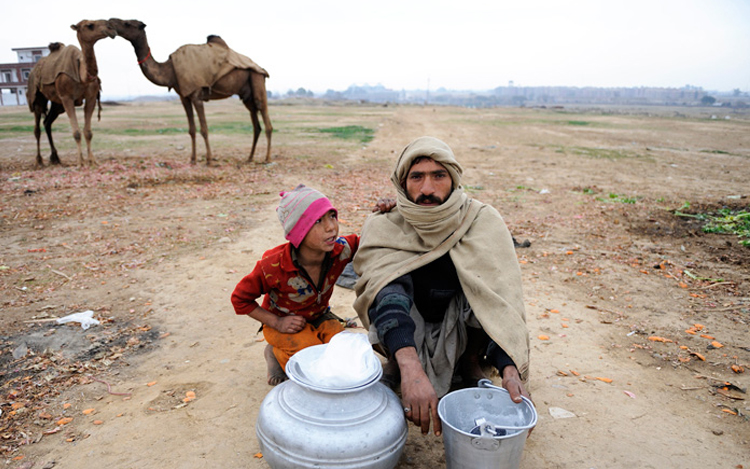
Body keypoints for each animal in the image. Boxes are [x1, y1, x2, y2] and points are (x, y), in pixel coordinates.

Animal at [26, 19, 116, 167]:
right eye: (90, 25)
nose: (111, 29)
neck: (82, 75)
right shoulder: (67, 97)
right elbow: (76, 132)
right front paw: (80, 161)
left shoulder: (91, 97)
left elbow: (88, 132)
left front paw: (92, 160)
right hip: (38, 96)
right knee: (37, 127)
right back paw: (39, 160)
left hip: (57, 104)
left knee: (47, 123)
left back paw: (55, 158)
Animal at [110, 18, 274, 165]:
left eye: (127, 23)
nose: (111, 22)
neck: (170, 70)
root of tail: (261, 68)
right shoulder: (184, 97)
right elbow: (192, 130)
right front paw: (193, 159)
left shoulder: (196, 95)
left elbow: (204, 129)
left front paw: (209, 160)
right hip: (246, 96)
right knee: (256, 125)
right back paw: (249, 158)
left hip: (257, 78)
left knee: (266, 119)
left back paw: (267, 159)